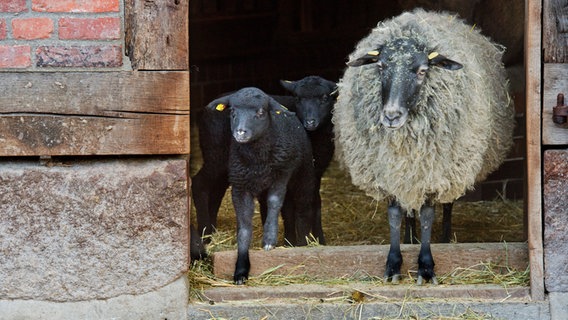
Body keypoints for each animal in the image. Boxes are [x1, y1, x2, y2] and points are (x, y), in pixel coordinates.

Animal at [332, 9, 516, 284]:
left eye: (421, 71)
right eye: (380, 66)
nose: (391, 116)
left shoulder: (433, 173)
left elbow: (429, 215)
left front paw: (426, 267)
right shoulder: (389, 173)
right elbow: (395, 214)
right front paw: (394, 265)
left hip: (452, 169)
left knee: (447, 204)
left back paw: (444, 239)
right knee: (409, 209)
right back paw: (410, 239)